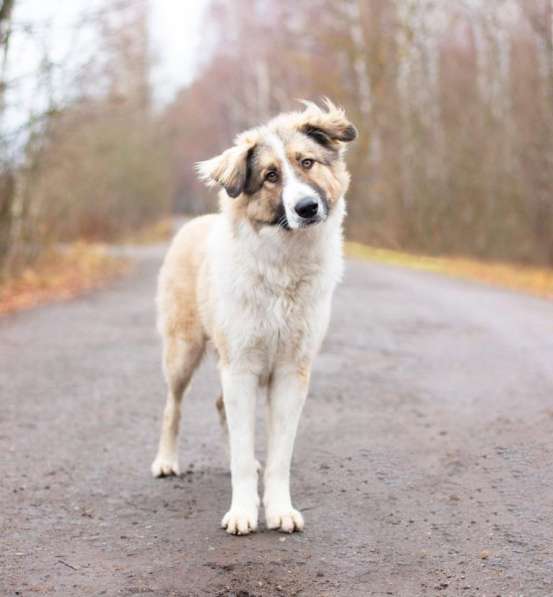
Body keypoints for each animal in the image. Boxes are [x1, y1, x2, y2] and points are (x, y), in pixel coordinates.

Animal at [152, 99, 358, 536]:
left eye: (307, 162)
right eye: (270, 176)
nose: (306, 208)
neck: (283, 264)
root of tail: (193, 223)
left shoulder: (291, 372)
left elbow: (279, 456)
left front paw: (279, 509)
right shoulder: (241, 368)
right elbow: (242, 456)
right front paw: (243, 512)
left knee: (218, 407)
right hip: (183, 353)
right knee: (172, 408)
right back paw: (165, 461)